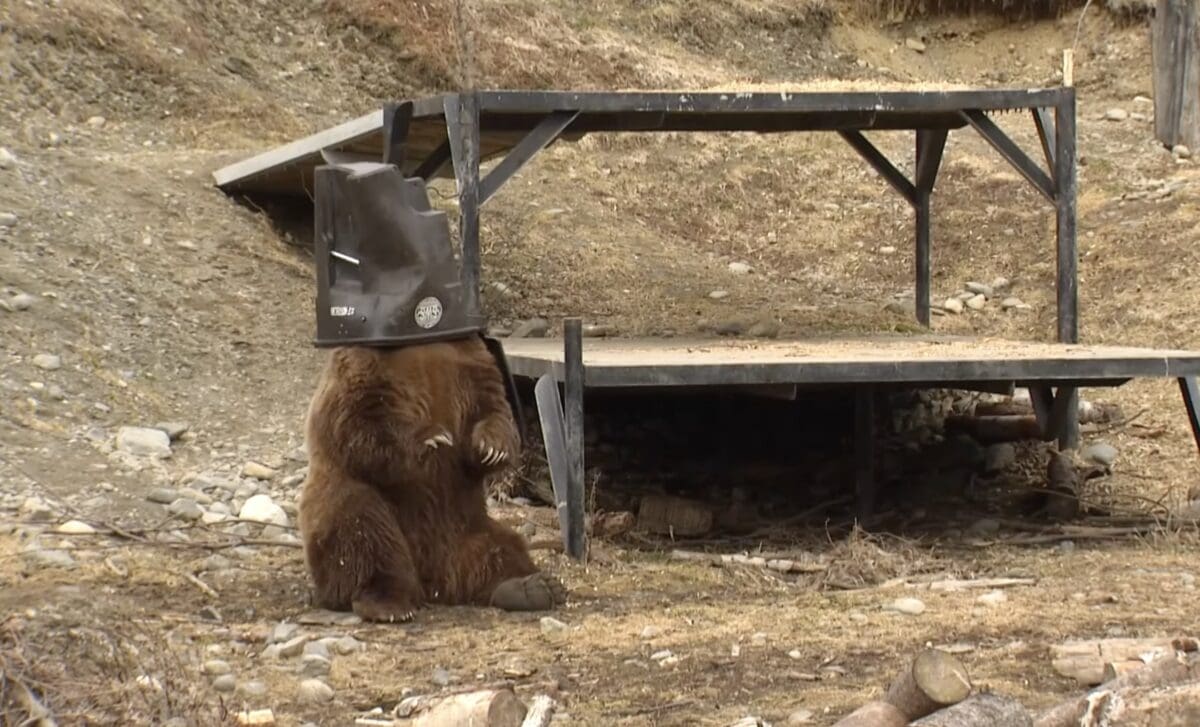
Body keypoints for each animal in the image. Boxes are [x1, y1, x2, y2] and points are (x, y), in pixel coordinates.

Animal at [297, 334, 566, 623]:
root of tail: (433, 581)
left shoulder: (472, 361)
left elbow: (493, 406)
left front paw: (491, 448)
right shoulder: (365, 368)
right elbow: (358, 420)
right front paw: (431, 439)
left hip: (468, 527)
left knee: (502, 548)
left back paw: (534, 587)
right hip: (352, 499)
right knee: (361, 526)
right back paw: (387, 603)